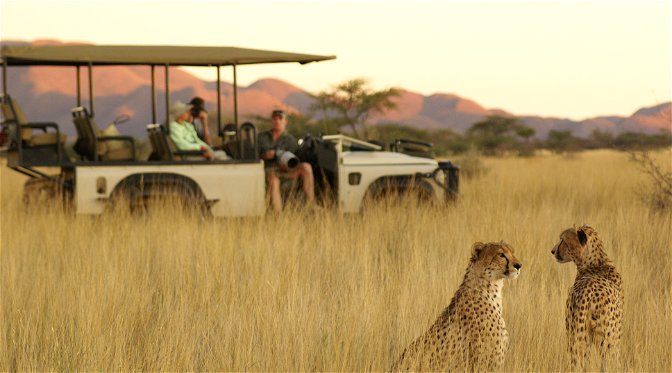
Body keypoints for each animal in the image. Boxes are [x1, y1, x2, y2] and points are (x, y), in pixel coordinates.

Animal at [552, 225, 624, 370]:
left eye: (563, 240)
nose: (552, 251)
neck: (595, 262)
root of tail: (587, 292)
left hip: (575, 334)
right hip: (607, 339)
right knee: (610, 362)